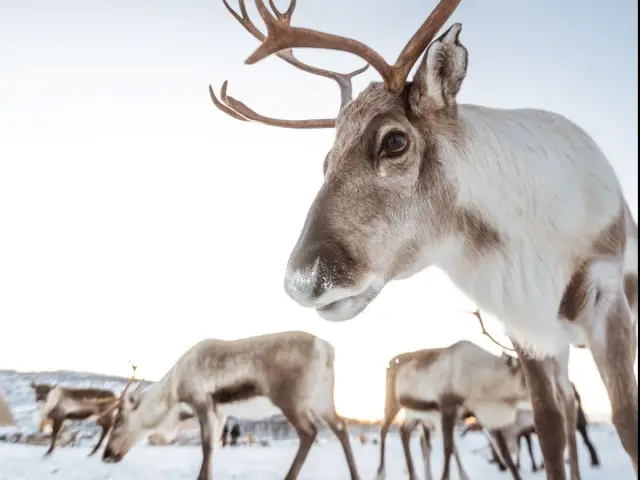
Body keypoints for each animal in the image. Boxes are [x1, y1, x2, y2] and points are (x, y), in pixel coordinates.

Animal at [101, 331, 360, 480]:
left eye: (119, 419)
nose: (106, 455)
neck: (173, 393)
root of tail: (326, 348)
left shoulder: (202, 403)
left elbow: (206, 448)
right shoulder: (221, 412)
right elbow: (213, 447)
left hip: (292, 402)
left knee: (309, 432)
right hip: (322, 400)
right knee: (341, 427)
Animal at [209, 1, 639, 479]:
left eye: (395, 140)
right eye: (326, 160)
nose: (303, 281)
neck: (530, 245)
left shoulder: (606, 297)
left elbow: (627, 421)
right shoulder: (525, 327)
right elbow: (549, 428)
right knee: (564, 409)